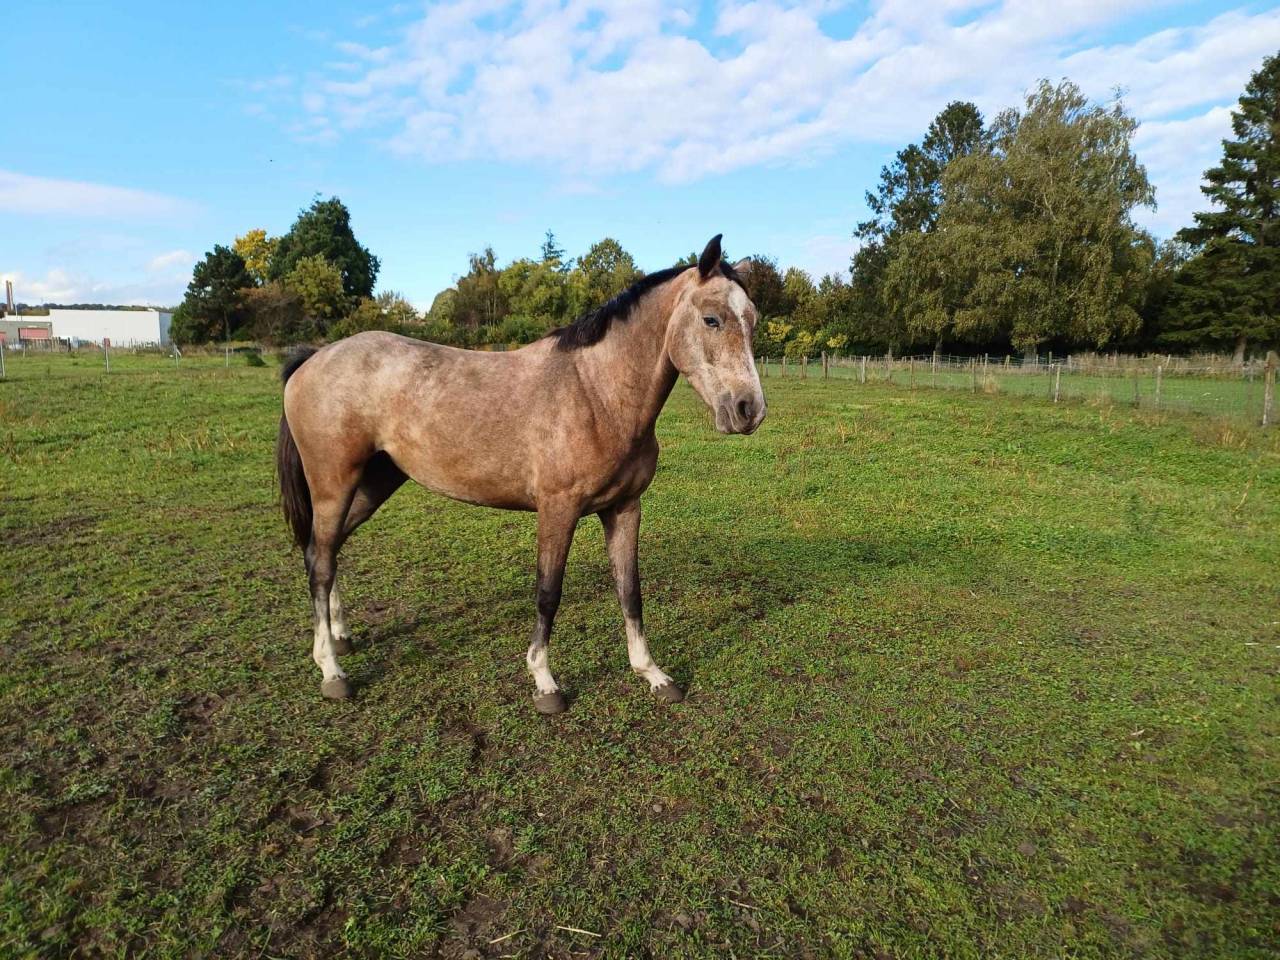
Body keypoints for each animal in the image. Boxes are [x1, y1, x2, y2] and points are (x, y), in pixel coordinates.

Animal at [275, 235, 766, 714]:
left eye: (753, 321)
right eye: (711, 319)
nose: (749, 410)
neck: (595, 393)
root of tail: (314, 359)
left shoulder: (625, 508)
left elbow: (630, 590)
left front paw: (653, 674)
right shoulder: (557, 510)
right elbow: (548, 593)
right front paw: (545, 683)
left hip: (373, 483)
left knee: (328, 551)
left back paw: (339, 637)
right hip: (333, 485)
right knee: (320, 562)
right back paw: (332, 671)